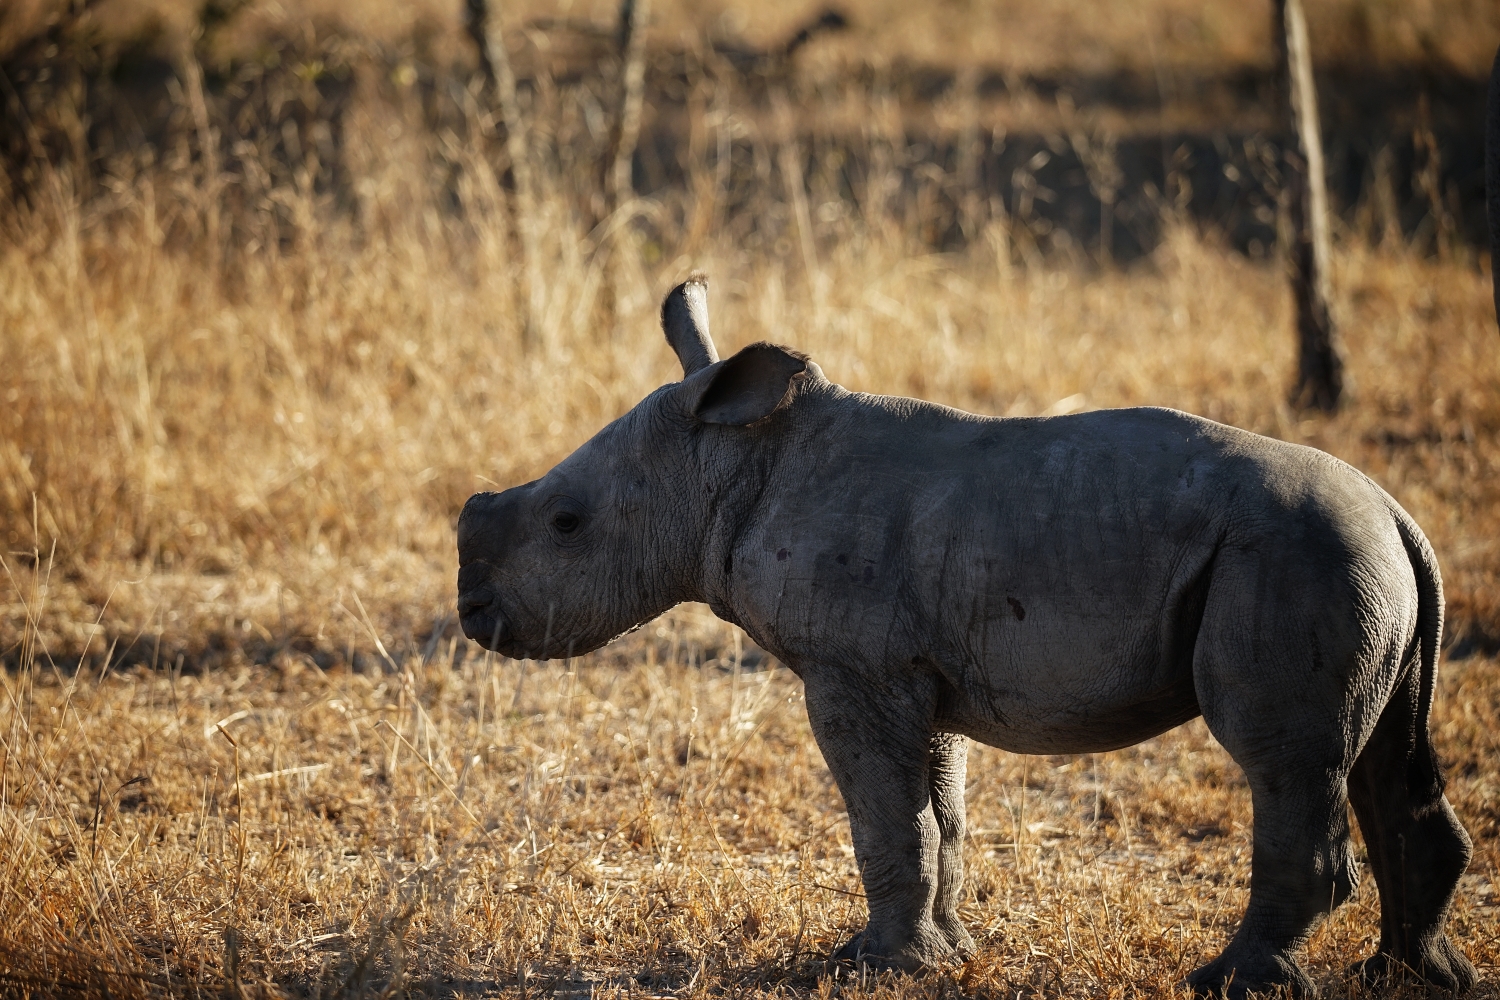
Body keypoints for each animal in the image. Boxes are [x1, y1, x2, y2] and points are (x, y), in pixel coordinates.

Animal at [456, 277, 1476, 995]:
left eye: (566, 524)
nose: (470, 613)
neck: (735, 460)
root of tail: (1399, 516)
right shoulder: (916, 673)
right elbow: (937, 819)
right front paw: (946, 956)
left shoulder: (852, 671)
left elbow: (885, 816)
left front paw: (871, 968)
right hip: (1349, 562)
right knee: (1380, 759)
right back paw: (1407, 979)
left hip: (1295, 556)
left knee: (1280, 762)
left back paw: (1230, 984)